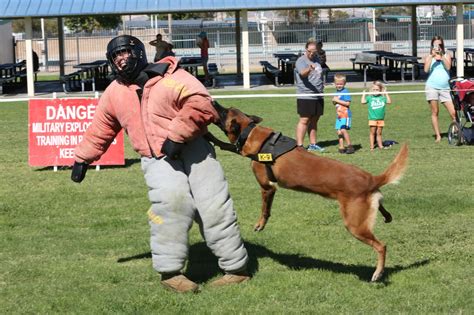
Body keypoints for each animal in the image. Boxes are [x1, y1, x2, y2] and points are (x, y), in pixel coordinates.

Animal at [209, 102, 410, 282]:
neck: (251, 131)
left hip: (355, 225)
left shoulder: (267, 187)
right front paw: (211, 137)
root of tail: (371, 178)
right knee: (384, 214)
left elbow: (265, 210)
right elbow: (227, 145)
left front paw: (260, 224)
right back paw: (386, 216)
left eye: (224, 112)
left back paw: (378, 272)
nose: (213, 102)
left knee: (382, 246)